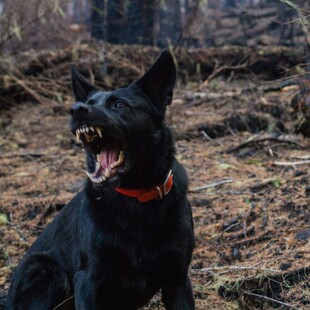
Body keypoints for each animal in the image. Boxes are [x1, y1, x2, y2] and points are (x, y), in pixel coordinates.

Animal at [7, 49, 195, 308]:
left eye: (119, 105)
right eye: (88, 103)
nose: (76, 109)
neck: (136, 197)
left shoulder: (178, 280)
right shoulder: (89, 278)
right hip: (45, 269)